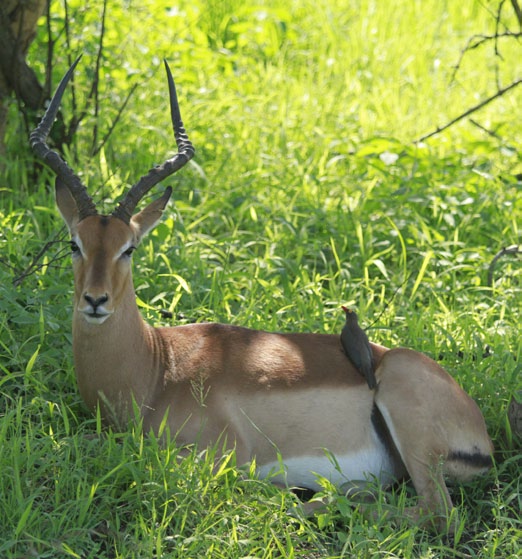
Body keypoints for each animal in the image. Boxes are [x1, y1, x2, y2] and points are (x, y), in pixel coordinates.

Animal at [32, 59, 492, 532]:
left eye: (129, 247)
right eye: (75, 243)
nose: (95, 300)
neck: (155, 370)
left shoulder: (220, 455)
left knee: (439, 514)